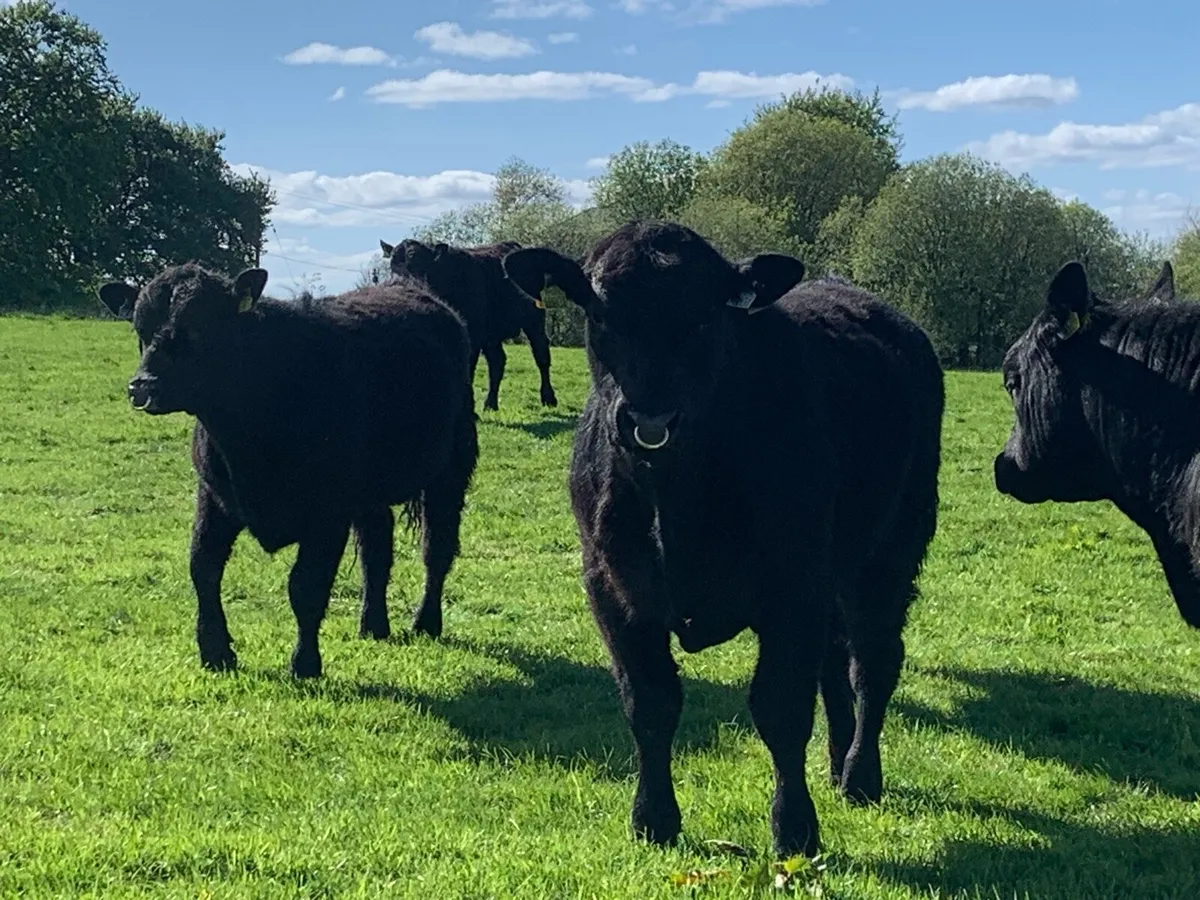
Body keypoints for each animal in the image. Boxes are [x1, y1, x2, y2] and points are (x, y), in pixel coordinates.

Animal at [97, 262, 478, 678]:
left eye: (199, 326)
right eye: (140, 329)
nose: (142, 386)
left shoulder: (328, 512)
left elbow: (305, 587)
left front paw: (305, 664)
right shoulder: (214, 495)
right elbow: (203, 568)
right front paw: (215, 651)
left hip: (452, 466)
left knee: (436, 547)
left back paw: (426, 622)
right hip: (369, 491)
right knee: (377, 547)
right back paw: (373, 624)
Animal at [379, 238, 558, 411]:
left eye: (417, 262)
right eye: (392, 266)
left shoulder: (473, 336)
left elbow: (469, 369)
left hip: (534, 320)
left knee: (541, 355)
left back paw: (549, 399)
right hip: (491, 335)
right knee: (497, 362)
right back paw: (490, 404)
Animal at [501, 222, 945, 858]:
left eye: (706, 317)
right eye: (599, 312)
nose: (650, 418)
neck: (676, 502)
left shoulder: (794, 587)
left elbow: (780, 707)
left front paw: (795, 829)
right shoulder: (611, 586)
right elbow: (650, 702)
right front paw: (654, 819)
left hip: (891, 549)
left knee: (874, 661)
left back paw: (861, 774)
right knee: (836, 660)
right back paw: (838, 763)